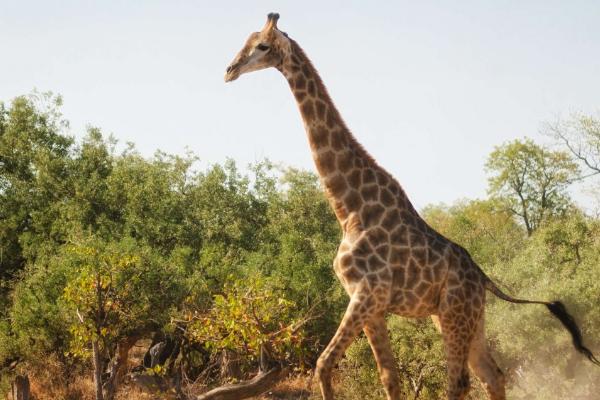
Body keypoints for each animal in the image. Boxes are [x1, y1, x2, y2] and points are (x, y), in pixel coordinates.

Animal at [223, 12, 596, 400]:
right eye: (245, 42)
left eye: (262, 46)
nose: (229, 70)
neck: (349, 209)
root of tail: (483, 278)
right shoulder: (369, 304)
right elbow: (389, 376)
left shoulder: (366, 294)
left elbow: (324, 364)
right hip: (462, 318)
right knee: (492, 375)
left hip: (455, 314)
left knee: (459, 381)